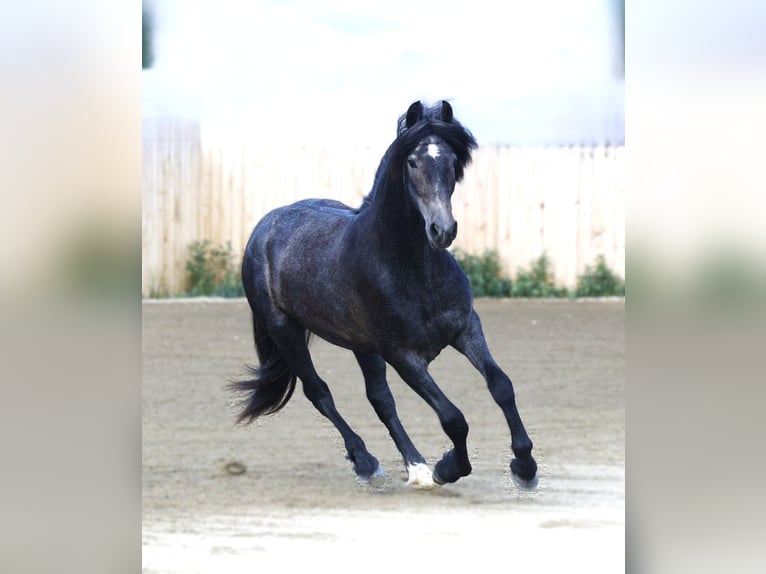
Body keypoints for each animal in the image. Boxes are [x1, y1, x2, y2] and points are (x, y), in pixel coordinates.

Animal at [231, 100, 538, 489]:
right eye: (412, 162)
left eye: (452, 160)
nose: (442, 230)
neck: (411, 268)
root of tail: (263, 230)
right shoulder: (404, 357)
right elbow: (453, 417)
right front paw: (447, 468)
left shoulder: (467, 328)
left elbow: (501, 386)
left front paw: (525, 467)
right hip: (286, 332)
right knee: (320, 393)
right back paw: (367, 463)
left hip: (362, 346)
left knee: (380, 399)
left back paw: (415, 466)